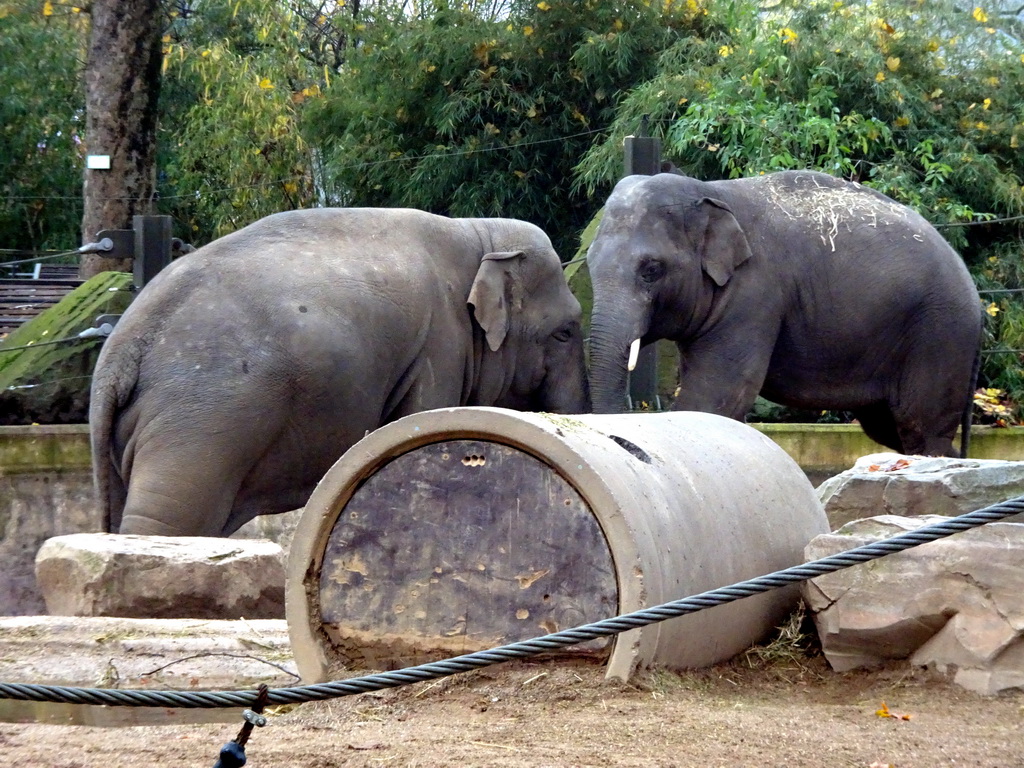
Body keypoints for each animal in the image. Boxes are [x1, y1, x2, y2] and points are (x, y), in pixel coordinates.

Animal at [92, 207, 589, 536]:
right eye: (565, 332)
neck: (479, 233)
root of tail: (119, 352)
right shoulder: (439, 349)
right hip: (201, 425)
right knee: (171, 517)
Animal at [593, 169, 983, 456]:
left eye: (651, 270)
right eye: (591, 264)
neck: (709, 190)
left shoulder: (755, 295)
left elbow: (717, 394)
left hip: (940, 333)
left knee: (921, 426)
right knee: (889, 427)